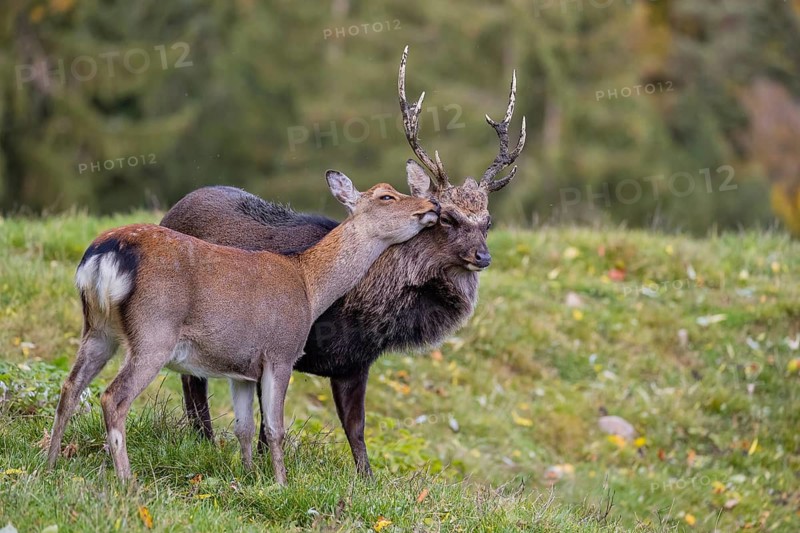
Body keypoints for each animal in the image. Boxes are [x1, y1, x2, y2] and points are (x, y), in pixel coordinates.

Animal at [46, 171, 440, 483]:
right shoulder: (281, 352)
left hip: (98, 329)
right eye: (386, 195)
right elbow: (275, 428)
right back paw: (127, 480)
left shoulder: (241, 367)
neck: (309, 286)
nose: (431, 205)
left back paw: (49, 464)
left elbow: (244, 427)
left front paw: (249, 475)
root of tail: (104, 254)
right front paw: (281, 483)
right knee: (113, 396)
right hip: (153, 332)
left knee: (70, 386)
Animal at [162, 46, 526, 477]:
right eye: (446, 217)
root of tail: (173, 209)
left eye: (487, 222)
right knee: (193, 384)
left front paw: (367, 479)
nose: (482, 257)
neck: (358, 309)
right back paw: (203, 440)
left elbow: (356, 429)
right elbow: (271, 422)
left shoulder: (355, 363)